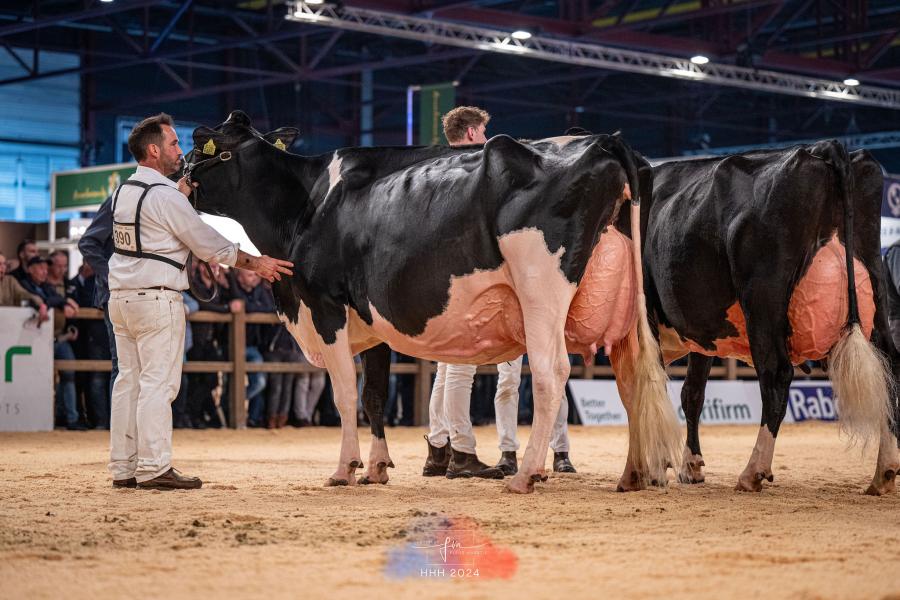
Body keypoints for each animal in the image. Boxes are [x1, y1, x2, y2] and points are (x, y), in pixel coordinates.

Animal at [190, 111, 684, 492]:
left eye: (203, 146)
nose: (182, 178)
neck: (307, 203)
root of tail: (605, 140)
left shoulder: (326, 306)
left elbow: (345, 394)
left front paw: (344, 468)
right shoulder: (372, 323)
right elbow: (373, 394)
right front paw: (376, 467)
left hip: (540, 287)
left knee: (552, 374)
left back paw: (525, 474)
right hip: (629, 307)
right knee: (635, 377)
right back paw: (632, 476)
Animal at [632, 143, 900, 494]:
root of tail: (823, 148)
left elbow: (650, 389)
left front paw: (654, 466)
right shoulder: (705, 334)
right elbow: (692, 393)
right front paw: (690, 466)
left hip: (762, 299)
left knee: (776, 374)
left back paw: (753, 471)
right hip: (875, 291)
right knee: (889, 368)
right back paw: (883, 473)